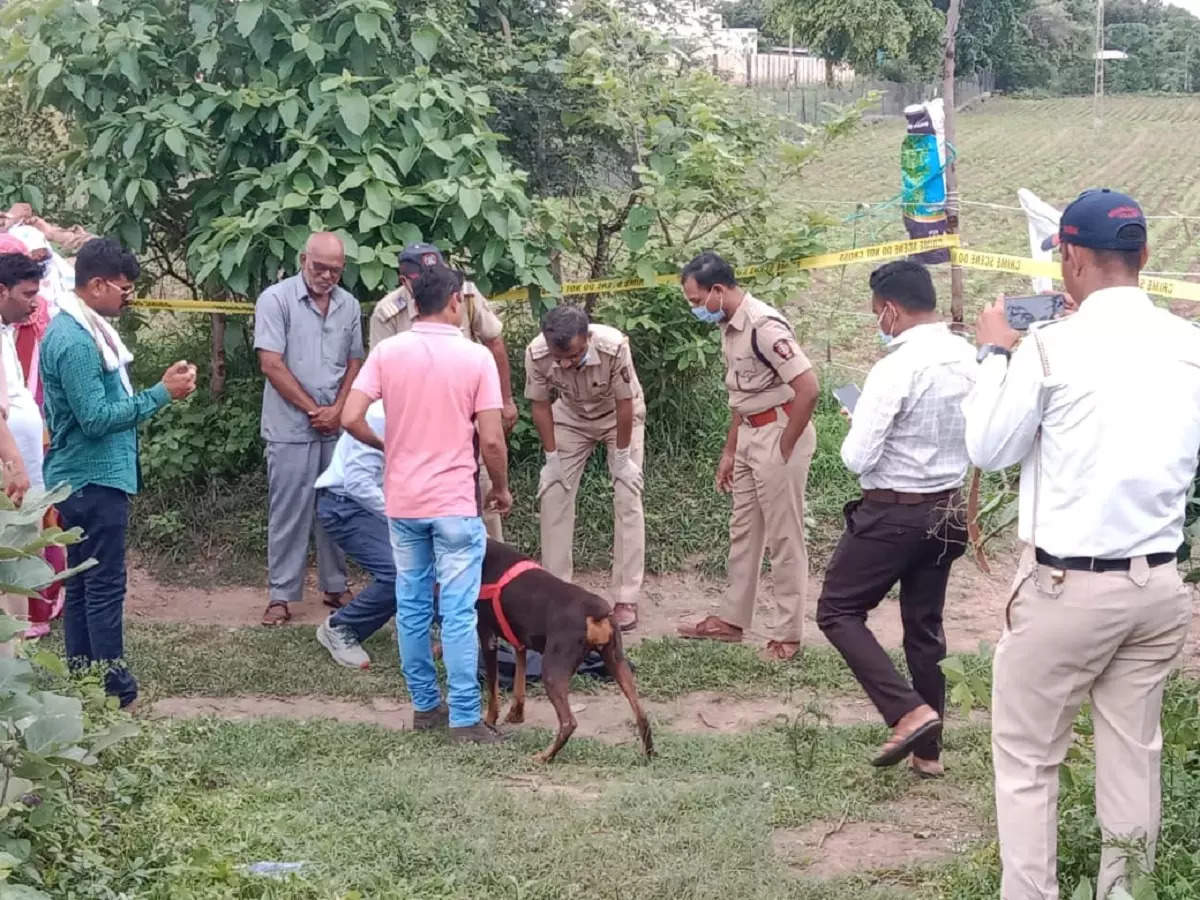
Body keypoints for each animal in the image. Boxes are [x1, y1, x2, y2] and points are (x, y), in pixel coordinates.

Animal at [472, 540, 652, 763]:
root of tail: (595, 613)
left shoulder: (487, 635)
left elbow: (493, 691)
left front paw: (489, 722)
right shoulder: (520, 641)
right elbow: (519, 681)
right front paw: (516, 714)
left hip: (552, 670)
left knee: (568, 722)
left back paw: (544, 756)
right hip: (617, 661)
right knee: (641, 714)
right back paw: (648, 755)